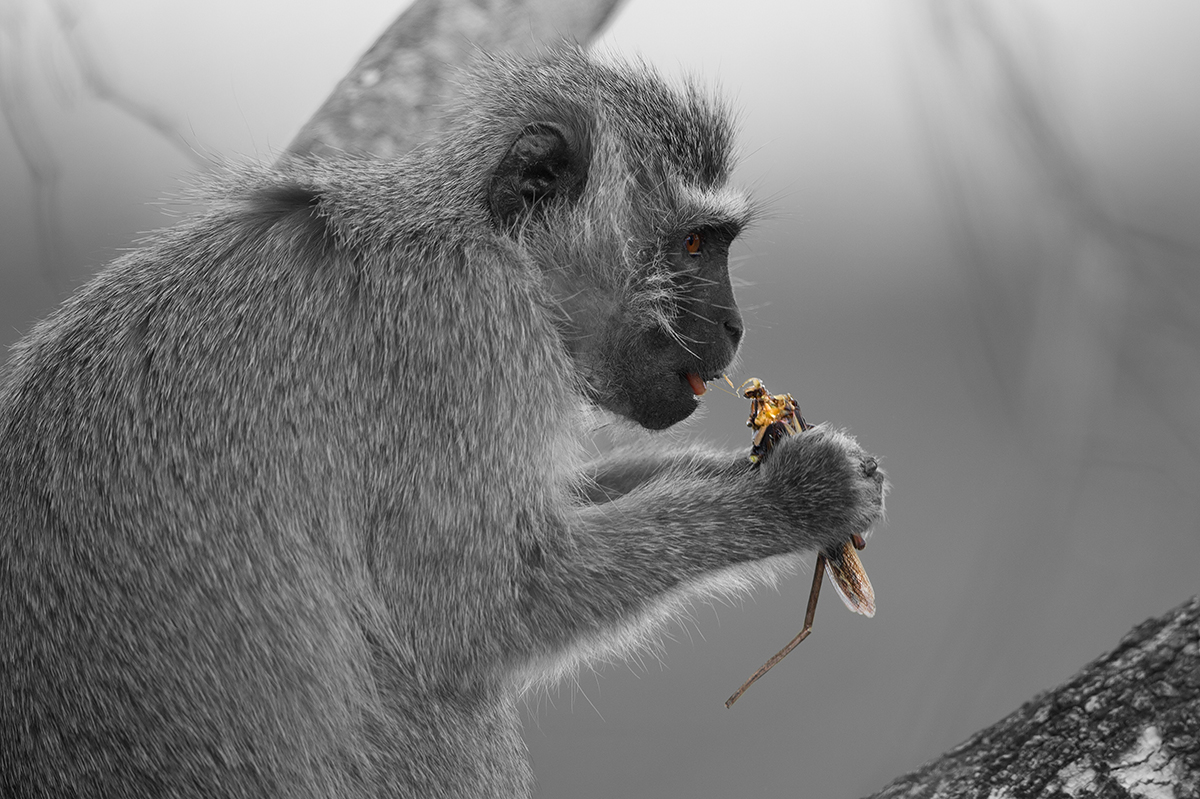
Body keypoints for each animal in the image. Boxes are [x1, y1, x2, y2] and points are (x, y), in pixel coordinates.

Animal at [0, 49, 883, 796]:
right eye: (695, 242)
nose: (733, 326)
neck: (478, 237)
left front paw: (765, 461)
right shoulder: (466, 335)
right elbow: (468, 615)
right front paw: (792, 497)